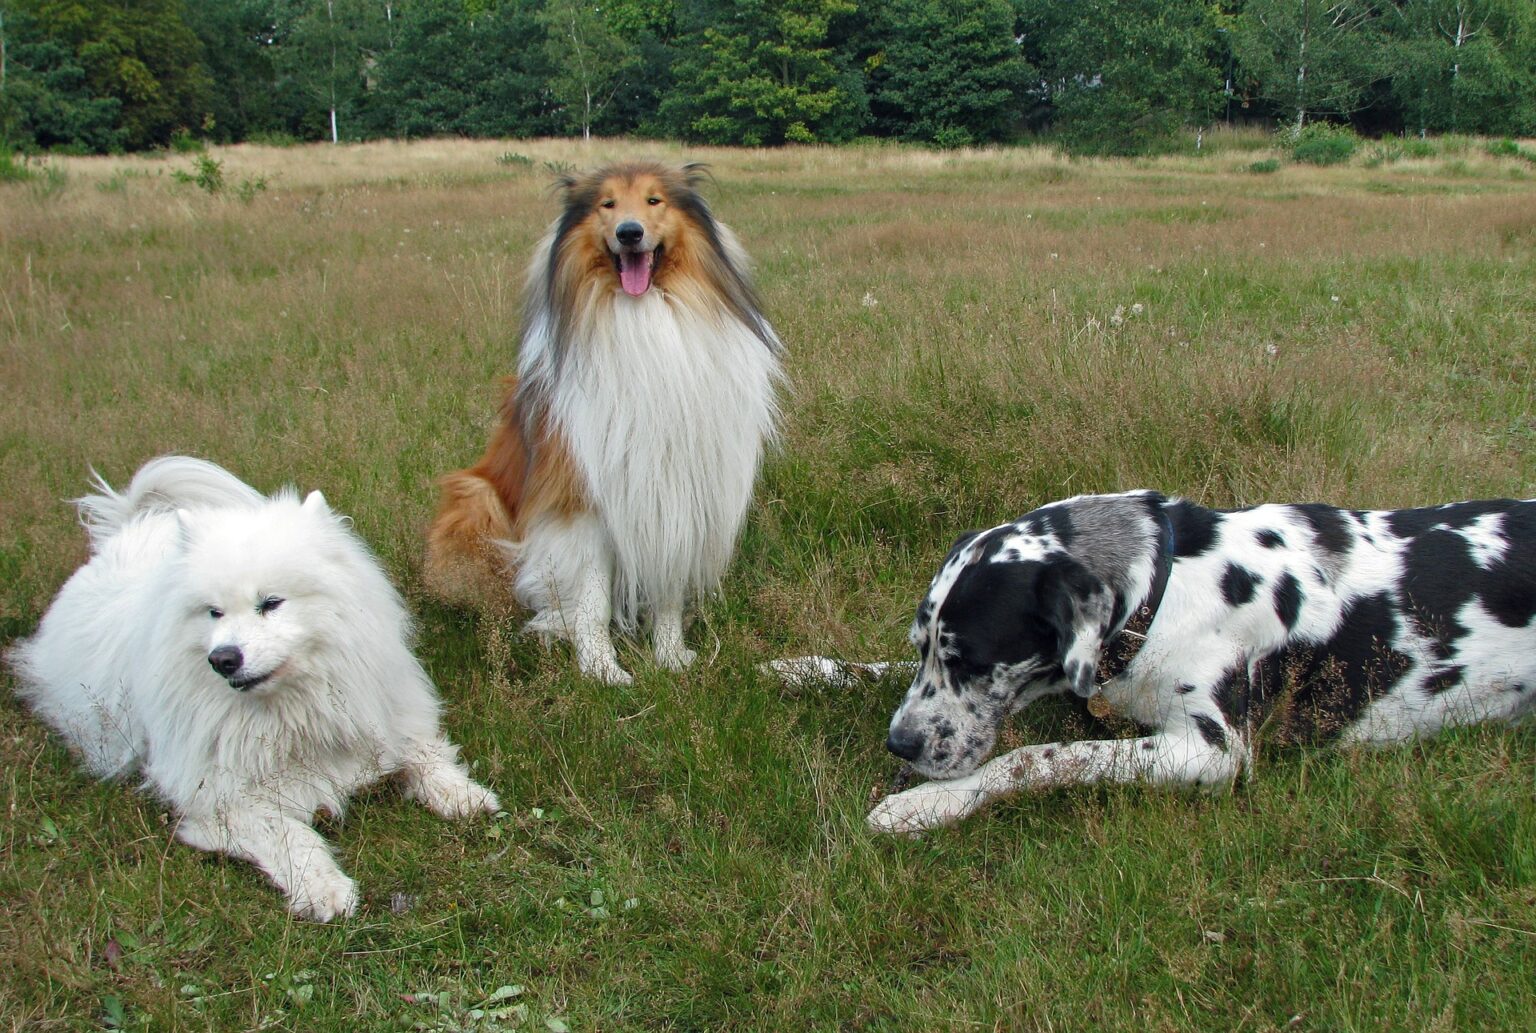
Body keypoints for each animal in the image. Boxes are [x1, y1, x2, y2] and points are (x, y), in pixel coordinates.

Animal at [13, 457, 503, 920]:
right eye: (213, 612)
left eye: (270, 603)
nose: (223, 658)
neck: (295, 711)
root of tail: (128, 531)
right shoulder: (223, 801)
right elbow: (291, 834)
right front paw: (324, 889)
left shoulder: (387, 719)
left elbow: (424, 756)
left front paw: (464, 795)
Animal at [430, 161, 780, 684]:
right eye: (607, 204)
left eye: (655, 200)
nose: (629, 233)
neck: (641, 315)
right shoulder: (582, 496)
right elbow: (592, 599)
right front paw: (600, 669)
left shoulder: (673, 489)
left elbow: (667, 586)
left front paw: (670, 655)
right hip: (475, 498)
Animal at [841, 488, 1536, 834]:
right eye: (923, 647)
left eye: (972, 661)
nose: (900, 744)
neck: (1167, 586)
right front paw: (820, 669)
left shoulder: (1211, 751)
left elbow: (1041, 757)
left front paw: (929, 804)